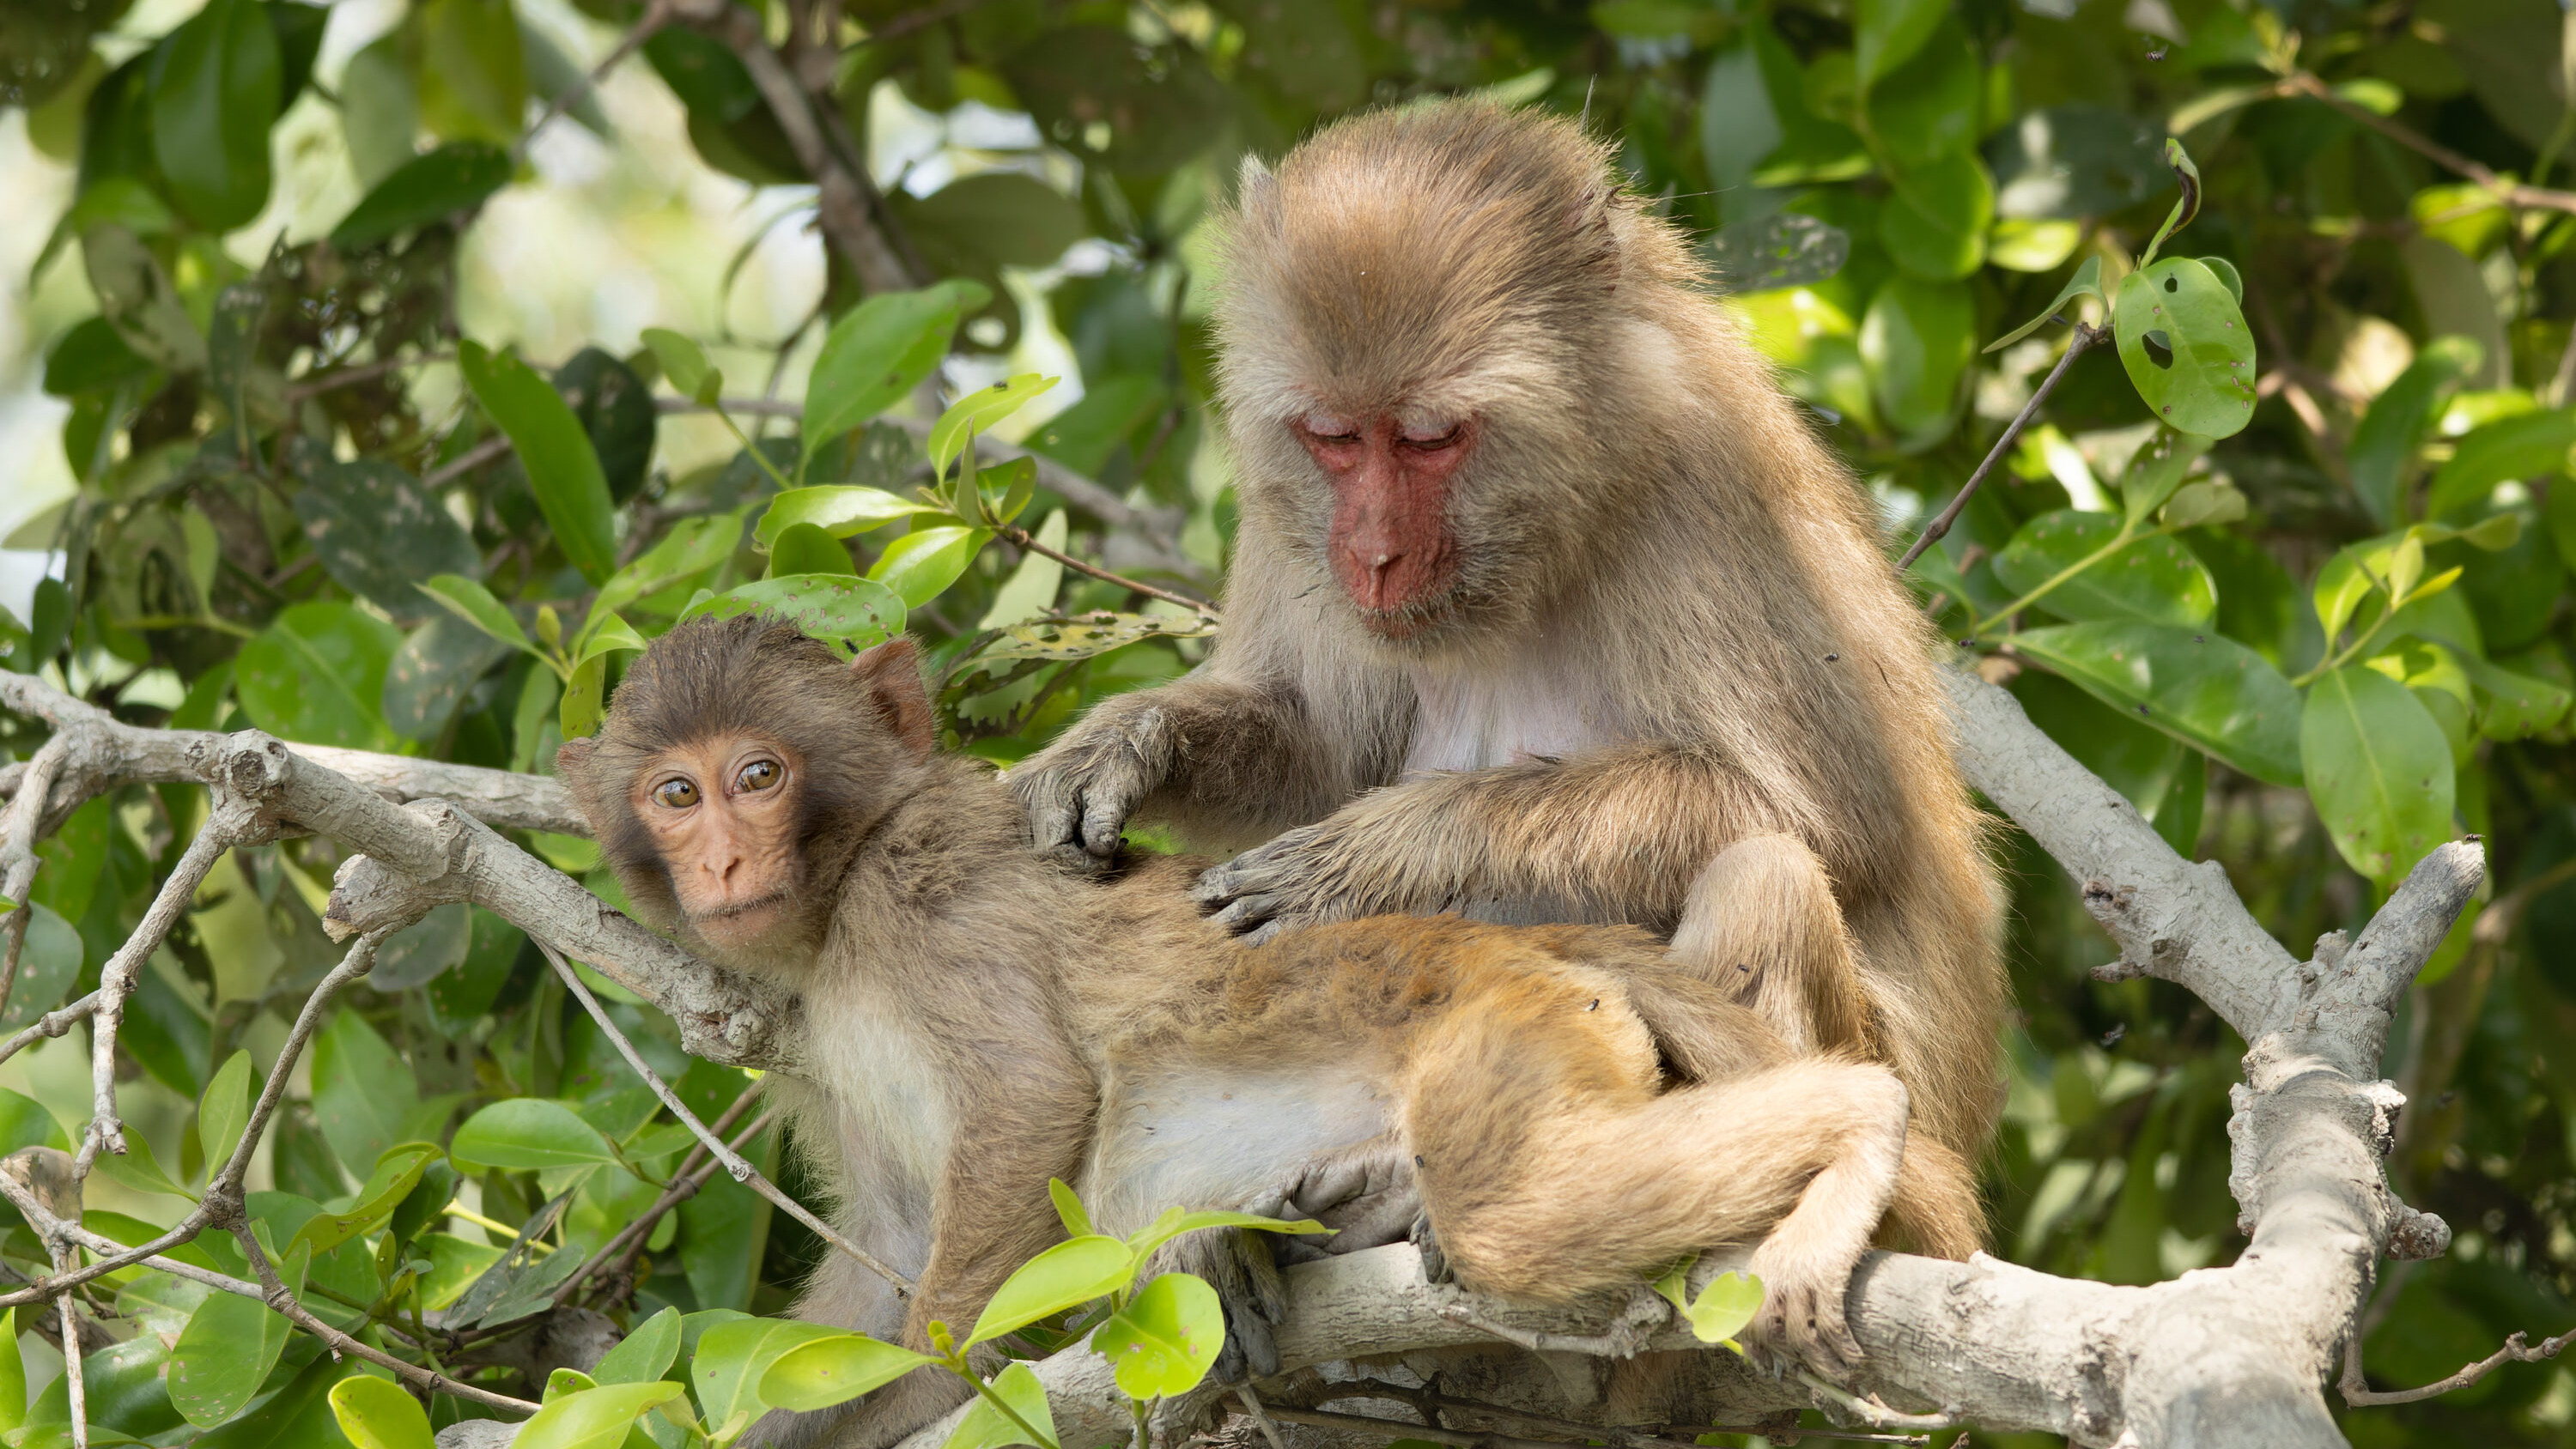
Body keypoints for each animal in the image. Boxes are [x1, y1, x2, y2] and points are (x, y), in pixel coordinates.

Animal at [555, 617, 1983, 1449]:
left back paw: (1854, 1125)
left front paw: (919, 1389)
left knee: (1510, 1213)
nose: (722, 859)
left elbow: (1029, 1112)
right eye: (674, 794)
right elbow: (895, 1243)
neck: (840, 897)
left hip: (1508, 1036)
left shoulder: (927, 911)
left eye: (758, 776)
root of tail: (1540, 953)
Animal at [1010, 99, 2006, 1164]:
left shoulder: (1709, 480)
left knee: (1765, 879)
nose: (1372, 555)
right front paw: (1128, 744)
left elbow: (1820, 817)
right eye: (1333, 437)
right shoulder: (1290, 520)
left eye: (1428, 438)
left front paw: (1384, 855)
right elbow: (1320, 749)